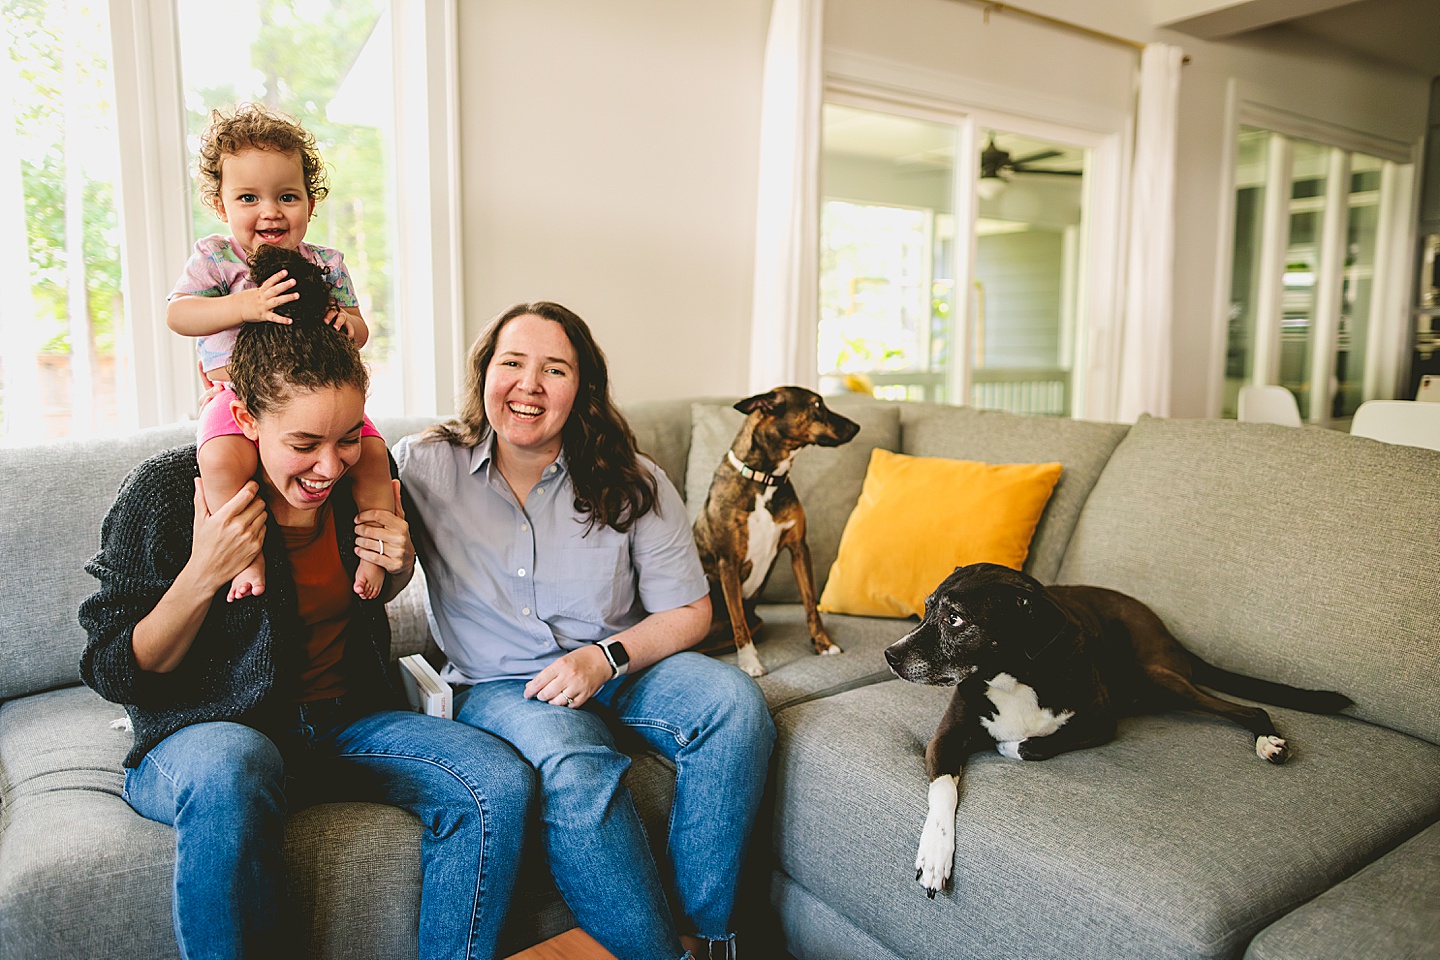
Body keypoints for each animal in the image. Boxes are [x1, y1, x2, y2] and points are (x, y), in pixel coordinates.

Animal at [881, 564, 1353, 903]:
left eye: (955, 619)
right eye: (927, 608)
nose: (890, 655)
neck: (1012, 676)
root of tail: (1164, 629)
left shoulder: (1101, 722)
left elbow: (1030, 746)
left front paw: (1010, 744)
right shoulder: (946, 739)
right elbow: (943, 791)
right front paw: (935, 854)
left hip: (1155, 675)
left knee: (1250, 708)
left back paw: (1268, 741)